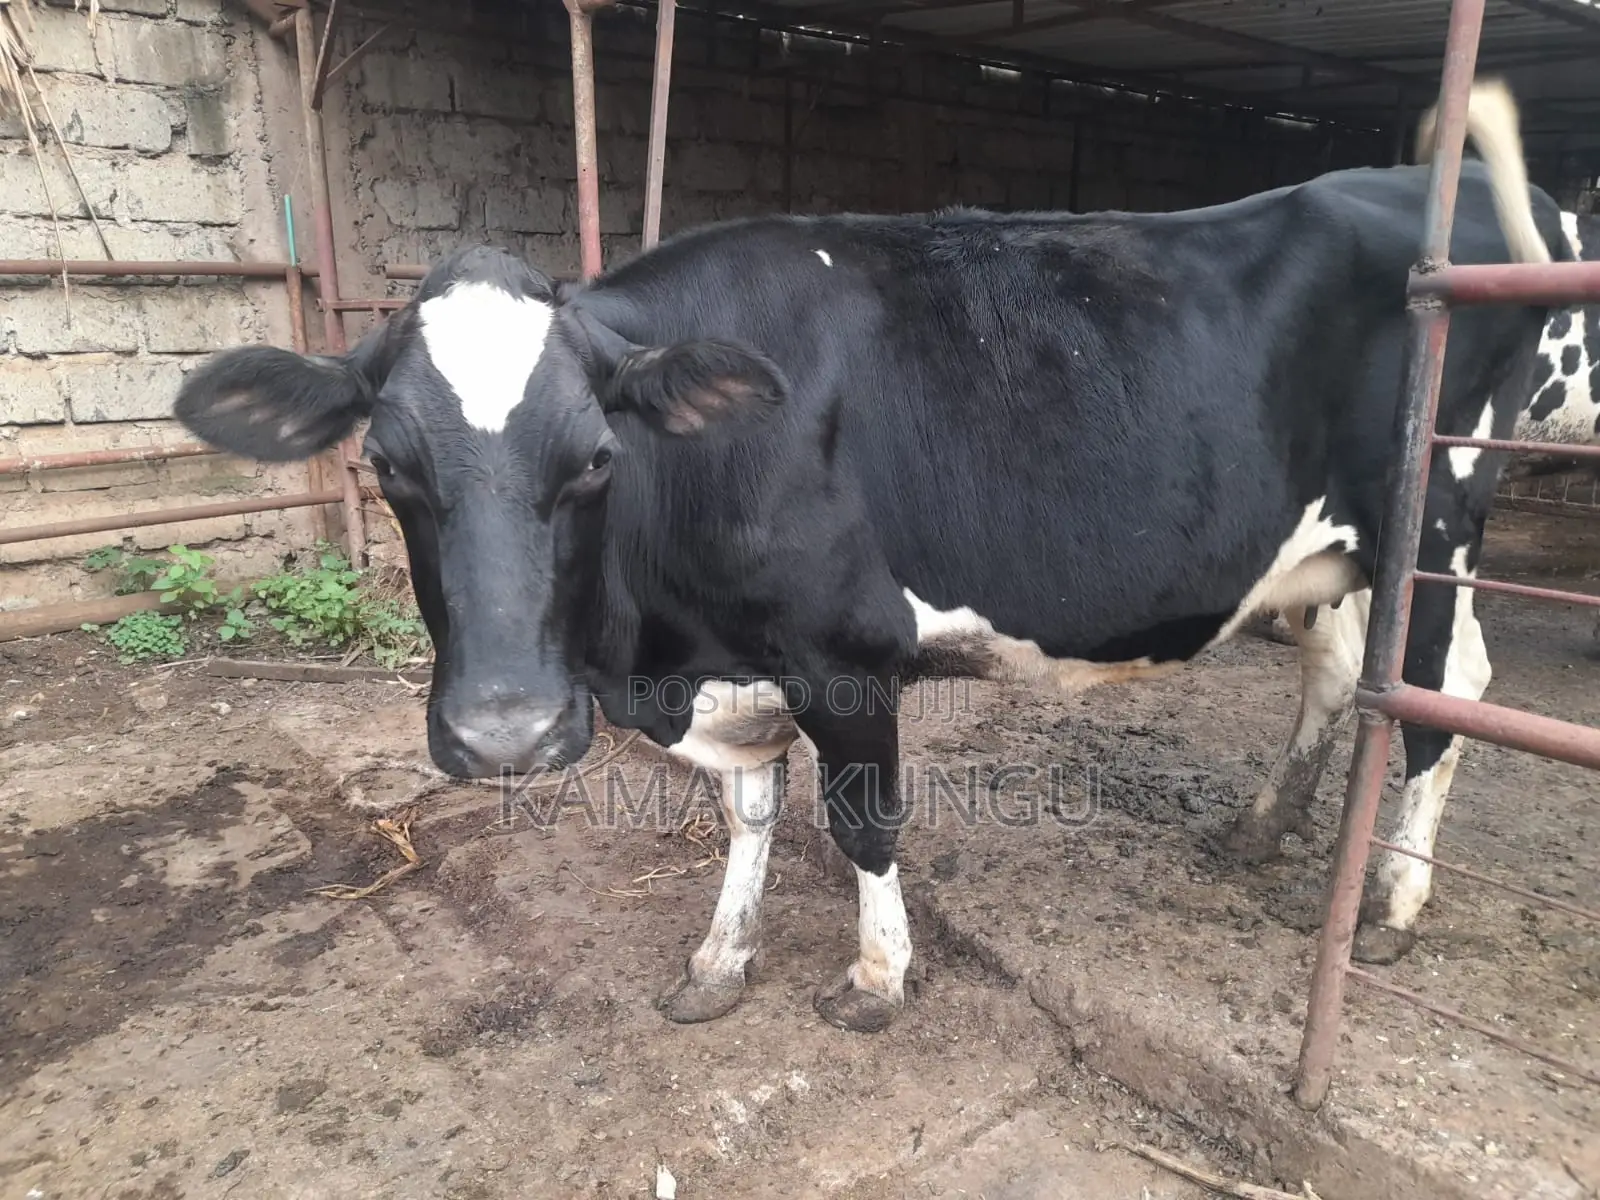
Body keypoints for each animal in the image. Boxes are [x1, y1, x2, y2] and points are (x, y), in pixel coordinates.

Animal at [170, 78, 1567, 1032]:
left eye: (596, 458)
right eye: (386, 465)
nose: (505, 732)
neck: (656, 651)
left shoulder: (842, 656)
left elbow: (860, 821)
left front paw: (877, 978)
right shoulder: (731, 668)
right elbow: (747, 810)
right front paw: (718, 961)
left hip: (1432, 520)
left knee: (1445, 696)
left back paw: (1390, 907)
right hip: (1326, 556)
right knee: (1341, 675)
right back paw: (1266, 830)